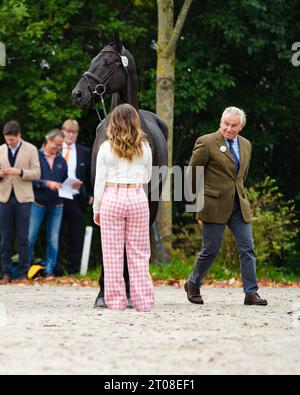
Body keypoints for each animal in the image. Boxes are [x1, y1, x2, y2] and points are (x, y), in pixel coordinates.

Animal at [71, 33, 168, 306]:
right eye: (93, 59)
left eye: (106, 62)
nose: (78, 93)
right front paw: (103, 293)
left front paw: (123, 290)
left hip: (152, 201)